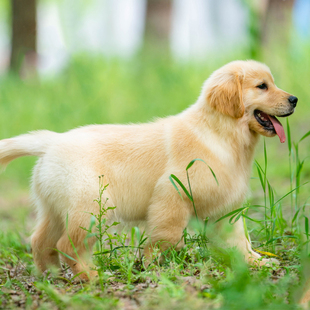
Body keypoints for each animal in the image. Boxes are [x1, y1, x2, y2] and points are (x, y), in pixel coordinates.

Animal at [0, 60, 298, 278]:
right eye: (262, 86)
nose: (295, 99)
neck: (220, 132)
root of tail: (52, 141)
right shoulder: (172, 193)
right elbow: (167, 235)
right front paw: (154, 265)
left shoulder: (227, 205)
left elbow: (239, 238)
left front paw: (254, 262)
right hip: (89, 208)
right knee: (67, 245)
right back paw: (90, 276)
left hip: (56, 208)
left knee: (40, 240)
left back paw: (49, 275)